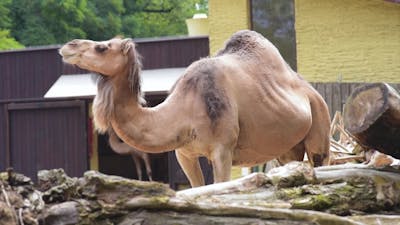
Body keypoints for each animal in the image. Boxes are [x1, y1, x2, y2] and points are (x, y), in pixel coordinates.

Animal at [58, 30, 328, 188]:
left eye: (102, 47)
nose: (68, 46)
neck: (182, 110)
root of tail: (311, 92)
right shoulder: (184, 153)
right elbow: (198, 190)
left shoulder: (223, 150)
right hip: (288, 148)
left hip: (319, 130)